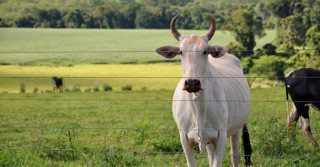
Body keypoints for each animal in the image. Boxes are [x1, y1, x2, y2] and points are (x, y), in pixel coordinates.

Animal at [156, 14, 252, 167]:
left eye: (205, 51)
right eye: (181, 52)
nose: (192, 83)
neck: (198, 106)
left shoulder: (221, 136)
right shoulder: (184, 137)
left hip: (237, 129)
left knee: (234, 156)